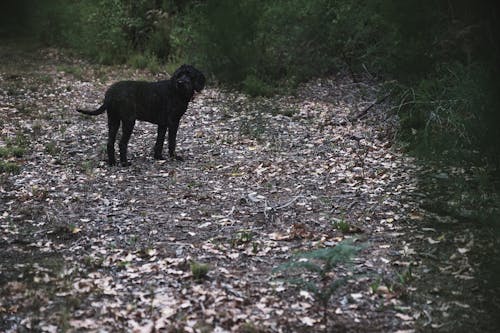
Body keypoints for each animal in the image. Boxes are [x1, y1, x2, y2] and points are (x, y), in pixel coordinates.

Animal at [76, 64, 205, 165]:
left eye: (189, 75)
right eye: (179, 75)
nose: (180, 82)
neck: (177, 91)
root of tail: (110, 94)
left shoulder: (163, 124)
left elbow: (159, 141)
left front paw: (158, 157)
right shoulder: (173, 122)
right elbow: (172, 141)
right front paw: (174, 157)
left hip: (113, 120)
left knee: (110, 142)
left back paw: (112, 162)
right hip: (129, 121)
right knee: (122, 143)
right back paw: (125, 163)